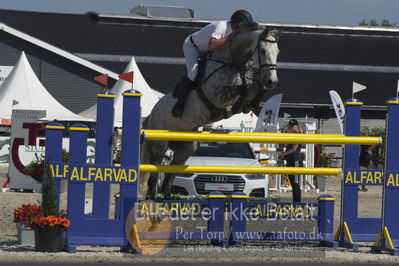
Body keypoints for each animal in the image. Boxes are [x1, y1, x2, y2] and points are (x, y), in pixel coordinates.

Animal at [141, 22, 282, 200]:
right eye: (263, 51)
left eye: (277, 52)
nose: (272, 81)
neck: (232, 62)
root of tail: (150, 117)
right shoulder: (218, 95)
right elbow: (244, 89)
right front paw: (236, 106)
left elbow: (253, 89)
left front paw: (252, 99)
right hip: (160, 144)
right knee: (155, 172)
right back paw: (152, 197)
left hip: (186, 148)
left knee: (170, 174)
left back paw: (167, 197)